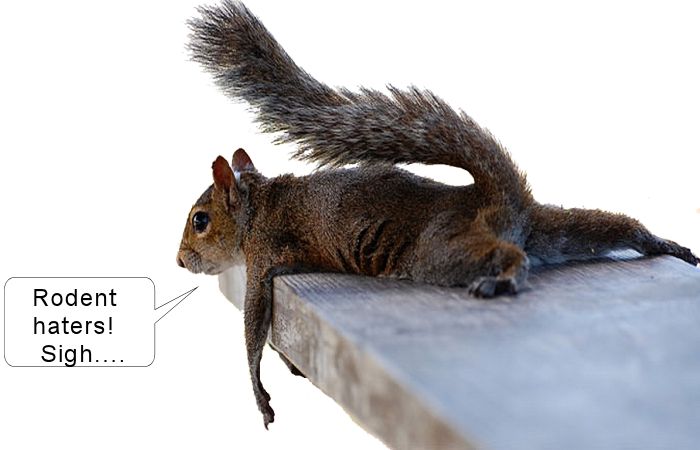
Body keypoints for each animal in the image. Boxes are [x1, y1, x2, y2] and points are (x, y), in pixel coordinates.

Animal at [176, 0, 699, 428]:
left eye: (200, 220)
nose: (180, 261)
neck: (257, 207)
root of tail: (496, 195)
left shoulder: (263, 256)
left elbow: (253, 329)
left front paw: (259, 395)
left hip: (439, 250)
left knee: (507, 255)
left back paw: (505, 278)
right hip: (551, 227)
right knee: (606, 226)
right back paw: (662, 243)